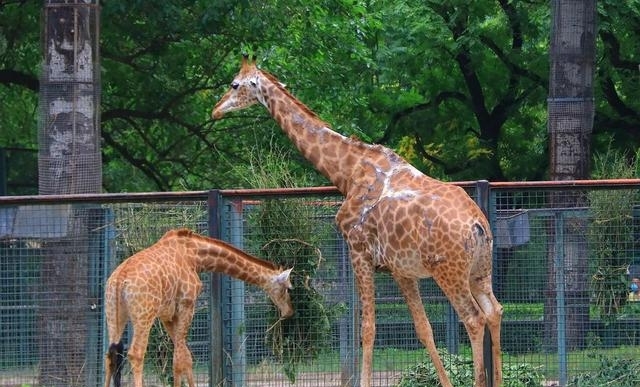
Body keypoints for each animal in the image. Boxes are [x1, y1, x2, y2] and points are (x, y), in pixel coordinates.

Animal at [104, 229, 294, 387]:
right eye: (288, 288)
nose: (289, 312)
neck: (195, 255)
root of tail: (120, 279)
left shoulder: (167, 315)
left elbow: (184, 356)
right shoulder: (186, 305)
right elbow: (181, 358)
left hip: (114, 315)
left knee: (111, 353)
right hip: (144, 315)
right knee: (135, 353)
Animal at [212, 55, 502, 387]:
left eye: (234, 84)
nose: (215, 110)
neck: (348, 172)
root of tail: (478, 225)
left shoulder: (359, 251)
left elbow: (367, 329)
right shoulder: (400, 269)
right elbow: (423, 329)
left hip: (449, 272)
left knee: (473, 318)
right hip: (480, 270)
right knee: (494, 311)